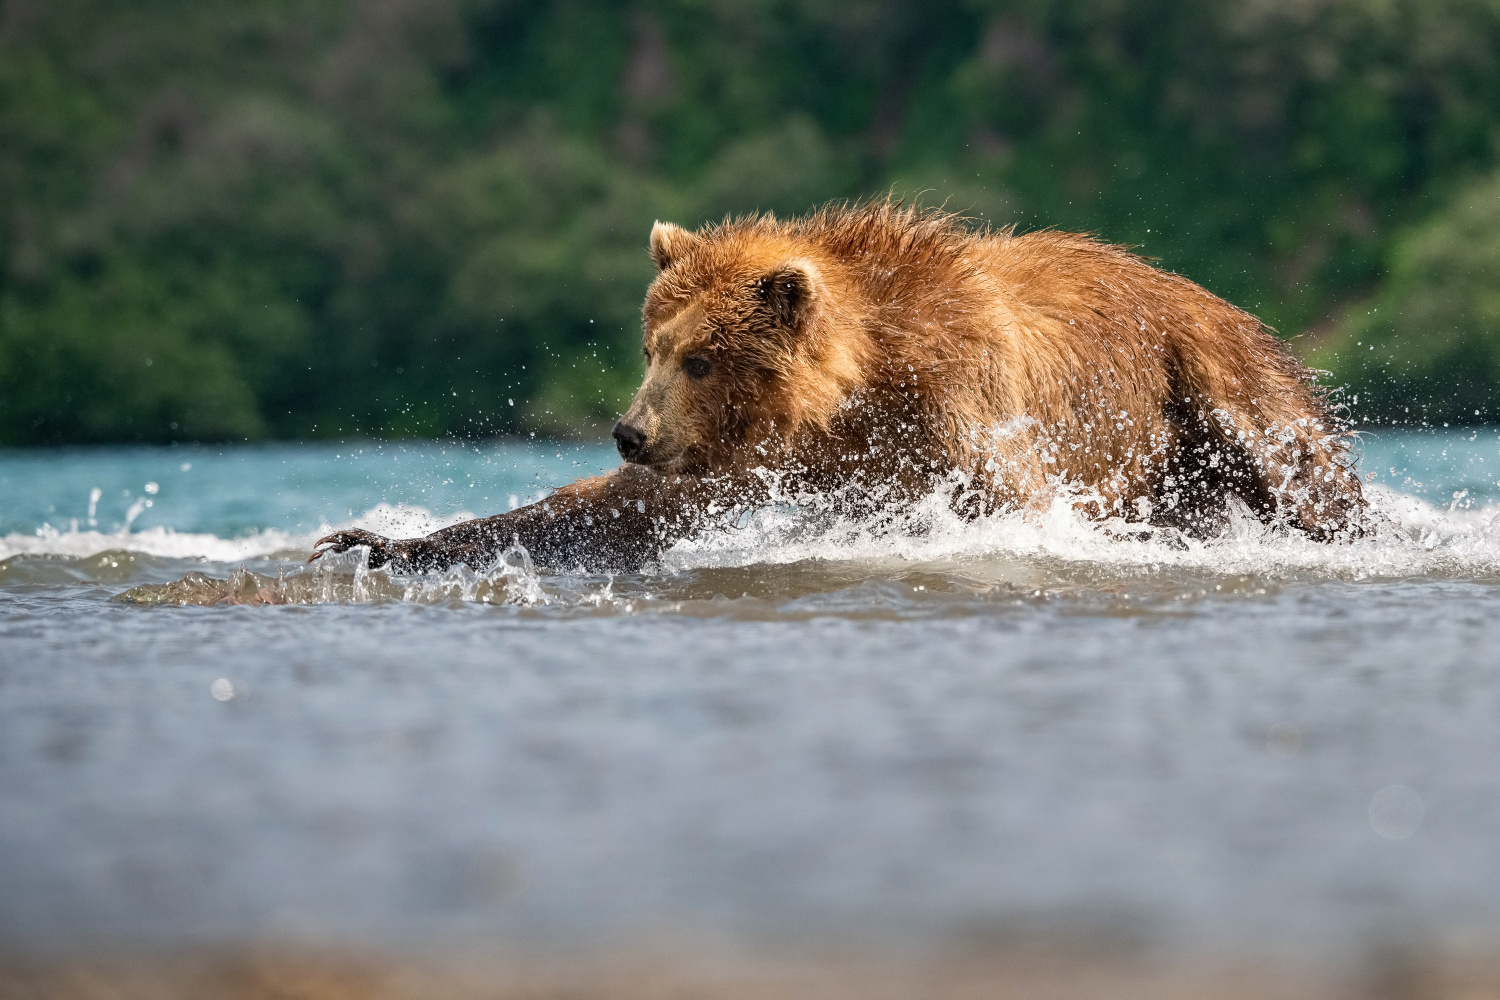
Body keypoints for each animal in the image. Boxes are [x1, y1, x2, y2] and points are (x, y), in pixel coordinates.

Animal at [310, 200, 1368, 569]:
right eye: (652, 344)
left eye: (699, 356)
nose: (629, 433)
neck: (856, 393)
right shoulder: (749, 457)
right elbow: (613, 512)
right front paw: (376, 541)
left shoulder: (964, 409)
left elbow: (1008, 502)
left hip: (1213, 381)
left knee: (1299, 474)